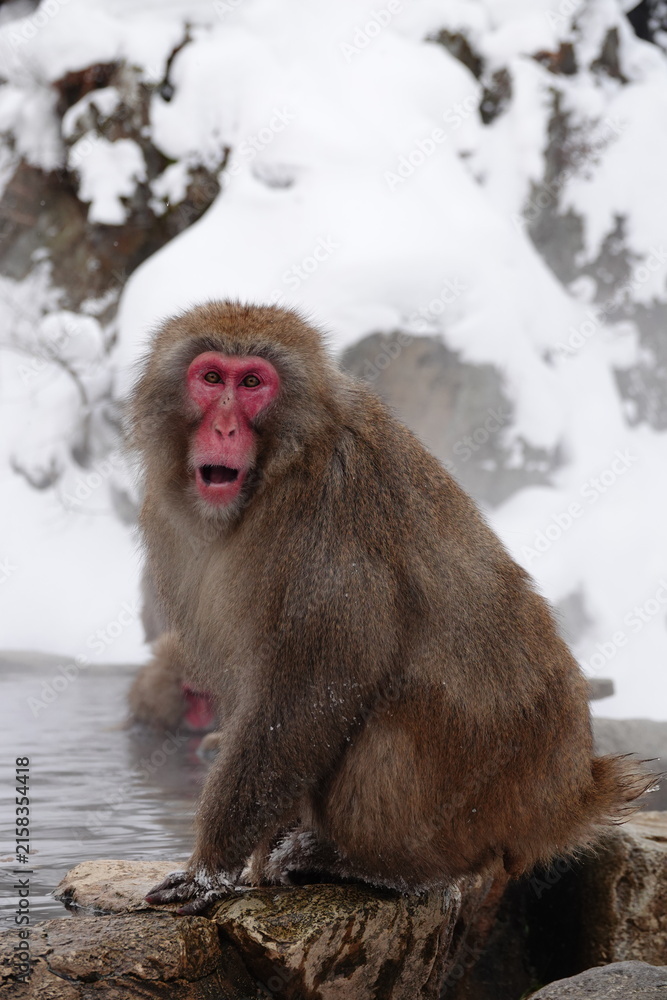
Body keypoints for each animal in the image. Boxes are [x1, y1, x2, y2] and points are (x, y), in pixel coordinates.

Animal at [129, 301, 653, 915]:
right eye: (212, 378)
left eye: (253, 383)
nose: (225, 427)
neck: (278, 471)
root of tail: (569, 791)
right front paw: (259, 849)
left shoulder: (327, 518)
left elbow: (311, 692)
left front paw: (210, 869)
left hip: (474, 800)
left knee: (393, 714)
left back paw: (372, 865)